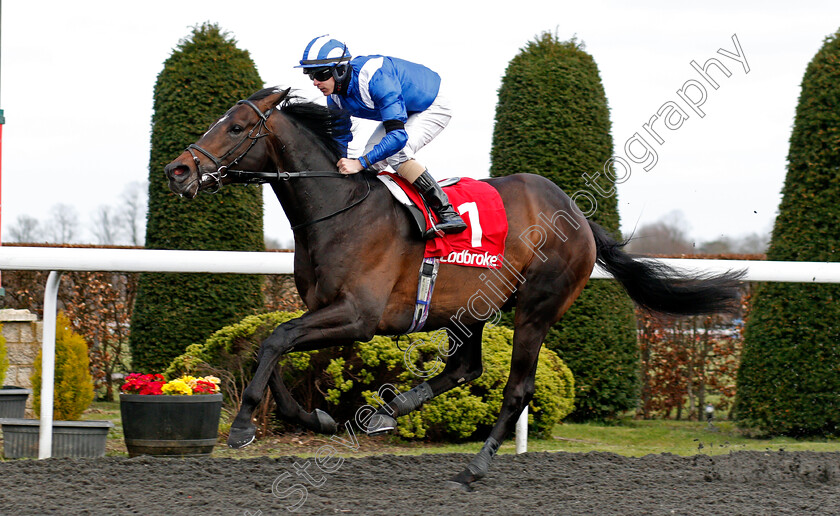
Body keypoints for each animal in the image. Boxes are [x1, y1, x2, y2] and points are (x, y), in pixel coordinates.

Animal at [164, 85, 740, 492]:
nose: (177, 170)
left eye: (237, 126)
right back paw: (390, 411)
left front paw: (242, 426)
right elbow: (274, 347)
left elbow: (276, 340)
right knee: (466, 368)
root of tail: (577, 216)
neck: (340, 211)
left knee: (517, 388)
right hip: (473, 308)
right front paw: (314, 417)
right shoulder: (325, 310)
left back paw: (475, 466)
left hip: (535, 308)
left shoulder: (357, 316)